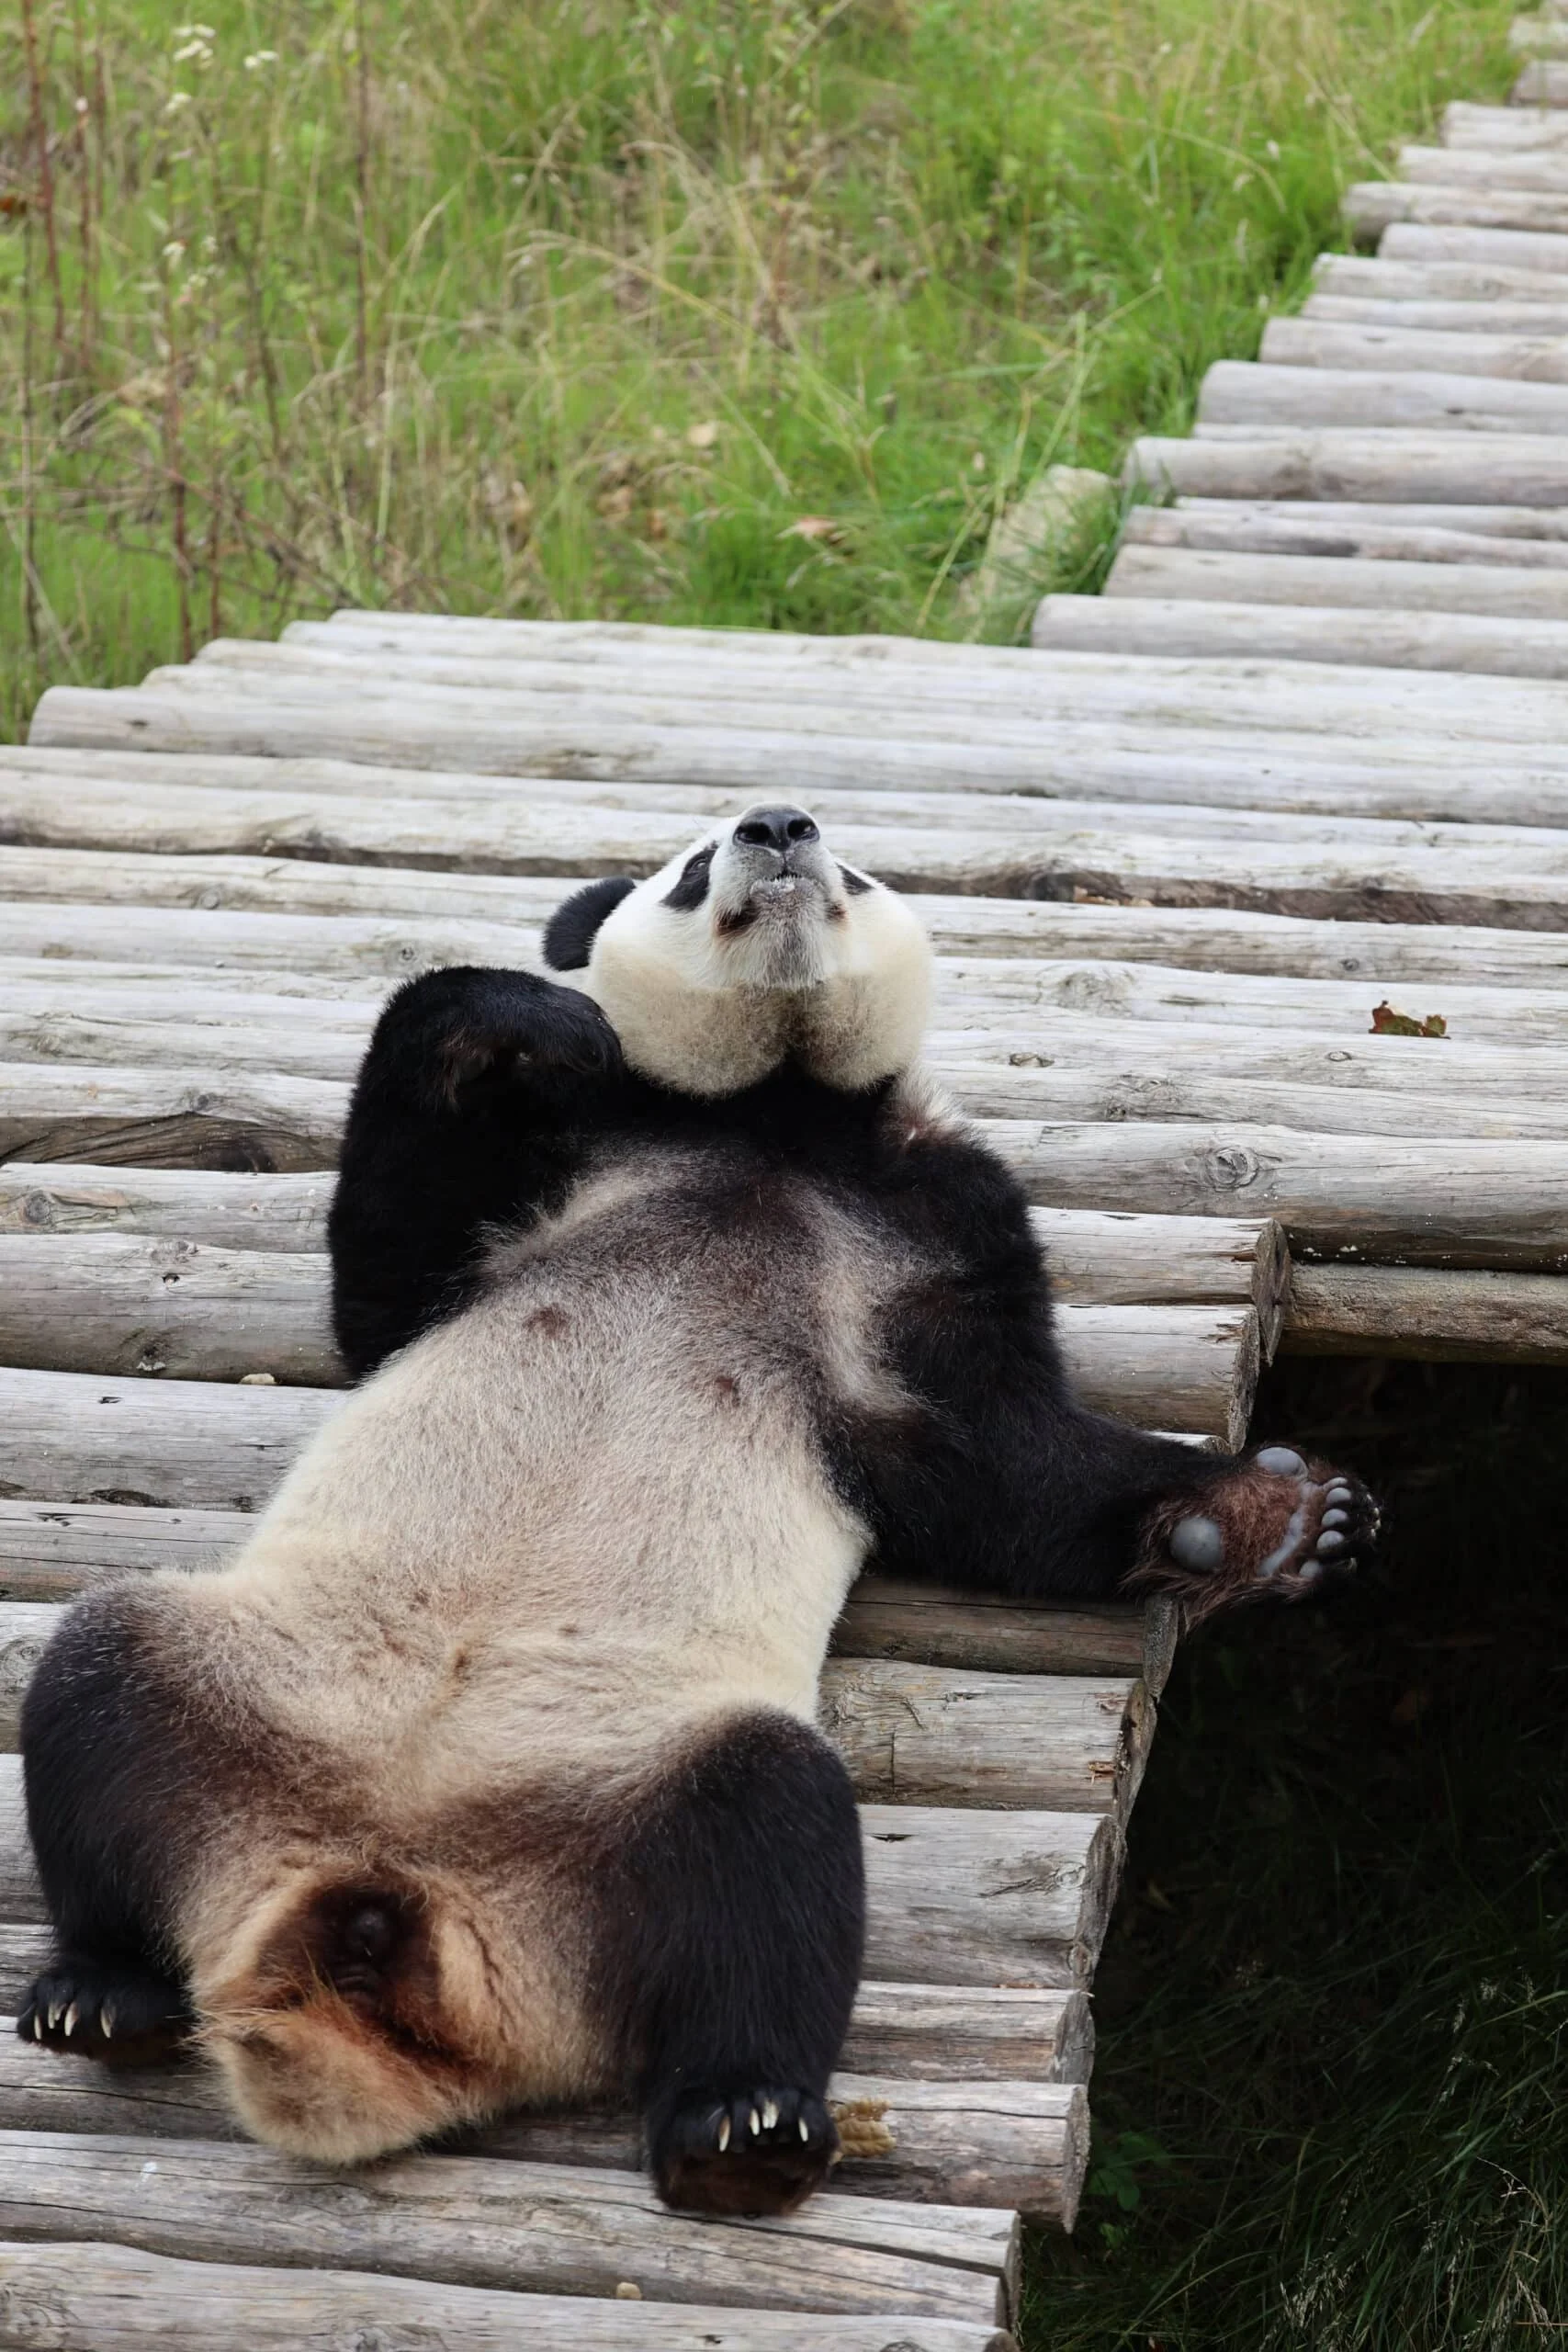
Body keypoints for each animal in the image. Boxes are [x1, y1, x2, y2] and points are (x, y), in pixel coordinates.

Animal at [18, 803, 1377, 2218]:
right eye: (686, 870)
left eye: (854, 869)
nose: (776, 825)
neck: (772, 1129)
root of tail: (410, 1910)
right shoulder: (574, 1150)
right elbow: (386, 1276)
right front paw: (518, 1018)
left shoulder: (936, 1217)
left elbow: (989, 1461)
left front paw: (1271, 1521)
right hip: (254, 1690)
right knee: (96, 1680)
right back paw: (101, 1988)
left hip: (632, 1789)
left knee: (767, 1849)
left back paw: (740, 2123)